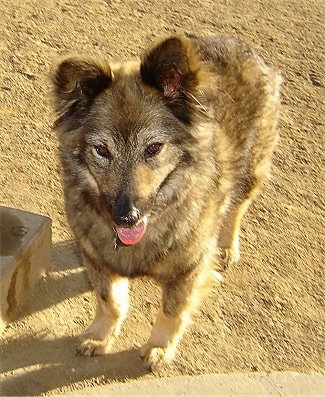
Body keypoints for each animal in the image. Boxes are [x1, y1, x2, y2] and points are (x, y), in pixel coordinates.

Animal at [52, 34, 280, 372]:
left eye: (153, 148)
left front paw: (159, 348)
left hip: (252, 170)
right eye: (102, 150)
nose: (126, 216)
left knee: (236, 208)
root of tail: (235, 43)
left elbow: (172, 312)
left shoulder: (188, 268)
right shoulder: (96, 257)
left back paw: (227, 247)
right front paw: (99, 337)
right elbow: (109, 302)